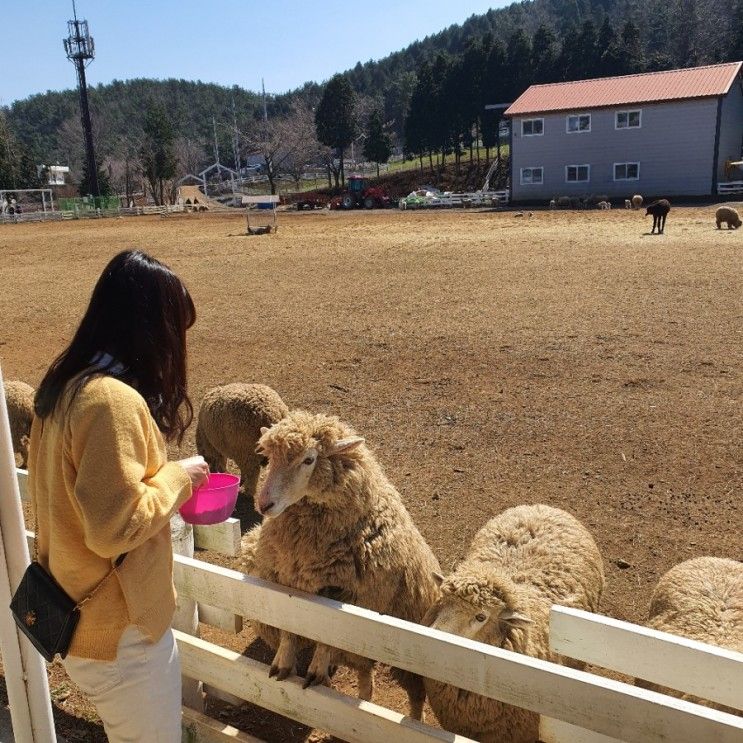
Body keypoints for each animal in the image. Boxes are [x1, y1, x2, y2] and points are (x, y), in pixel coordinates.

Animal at [196, 380, 290, 516]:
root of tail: (271, 412)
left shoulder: (216, 447)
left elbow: (221, 462)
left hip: (246, 449)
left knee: (252, 472)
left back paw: (248, 492)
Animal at [250, 412, 442, 720]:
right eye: (269, 458)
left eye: (309, 459)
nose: (264, 504)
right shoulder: (287, 581)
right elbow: (289, 625)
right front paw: (283, 663)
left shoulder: (351, 594)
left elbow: (328, 633)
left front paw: (316, 669)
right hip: (361, 650)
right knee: (365, 675)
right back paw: (363, 698)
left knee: (415, 694)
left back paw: (415, 718)